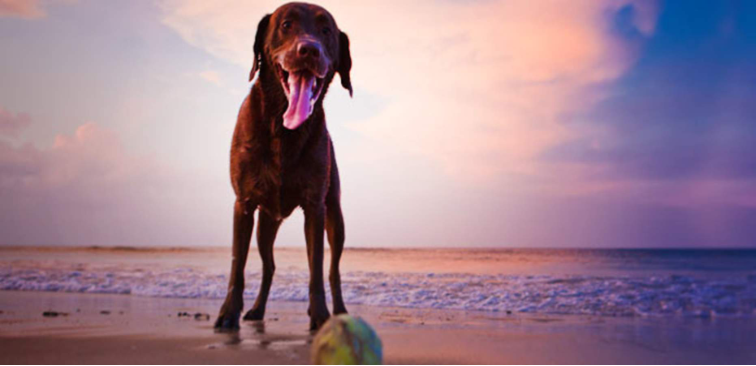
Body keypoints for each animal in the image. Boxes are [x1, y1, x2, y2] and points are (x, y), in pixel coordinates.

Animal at [214, 1, 352, 332]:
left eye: (326, 31)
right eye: (286, 25)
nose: (309, 50)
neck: (283, 129)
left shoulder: (315, 207)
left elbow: (317, 267)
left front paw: (320, 315)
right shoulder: (243, 204)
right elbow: (237, 265)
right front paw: (228, 313)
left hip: (335, 215)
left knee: (332, 268)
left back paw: (339, 311)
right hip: (266, 224)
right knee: (269, 266)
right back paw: (257, 310)